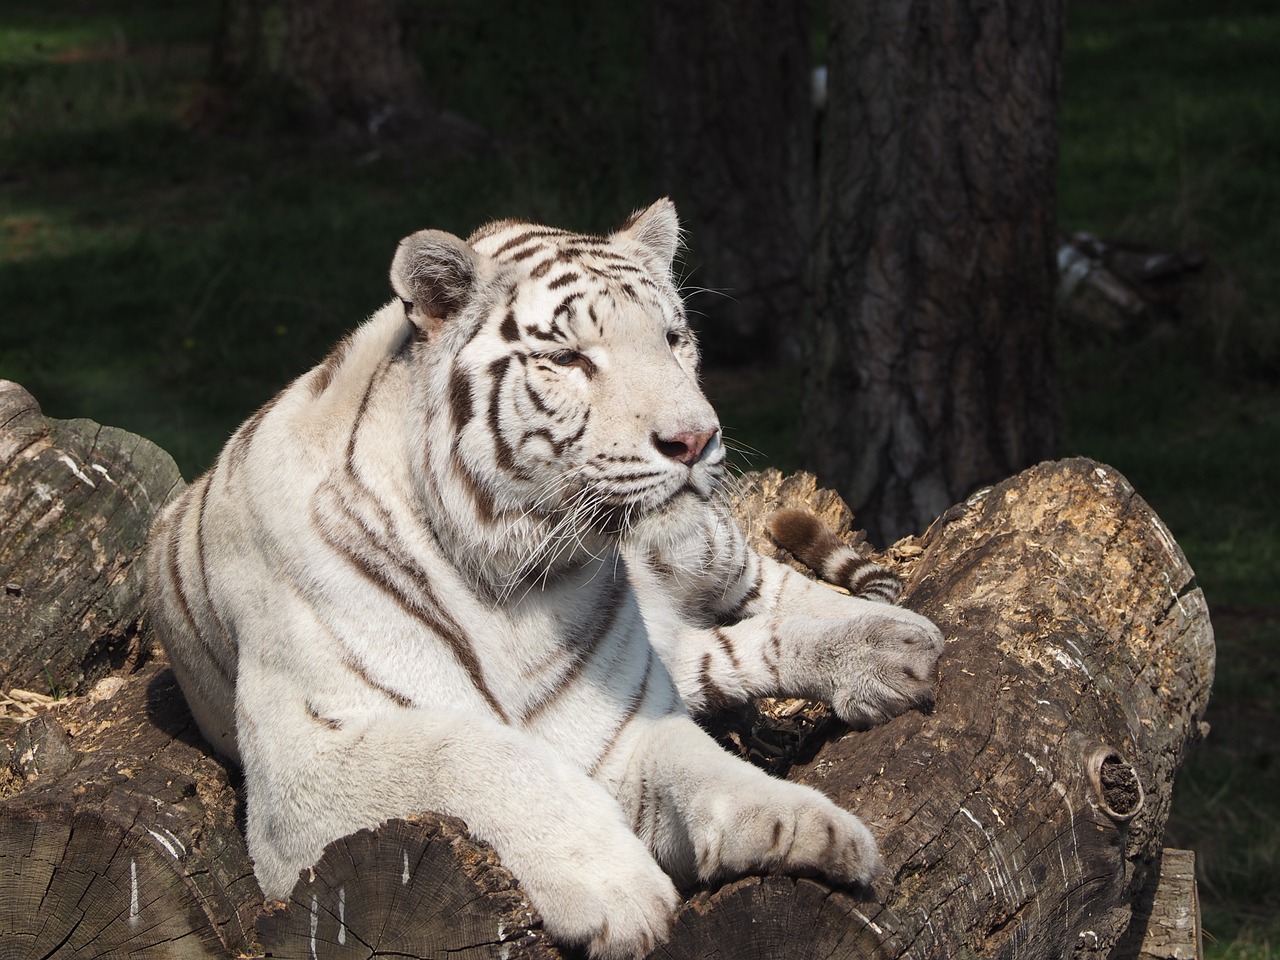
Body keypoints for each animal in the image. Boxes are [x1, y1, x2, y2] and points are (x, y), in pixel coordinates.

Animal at [149, 200, 947, 960]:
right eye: (569, 358)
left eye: (672, 339)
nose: (696, 439)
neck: (508, 579)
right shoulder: (303, 766)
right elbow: (474, 753)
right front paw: (621, 889)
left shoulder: (617, 726)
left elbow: (706, 769)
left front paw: (818, 828)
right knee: (722, 652)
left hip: (701, 551)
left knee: (770, 589)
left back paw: (897, 638)